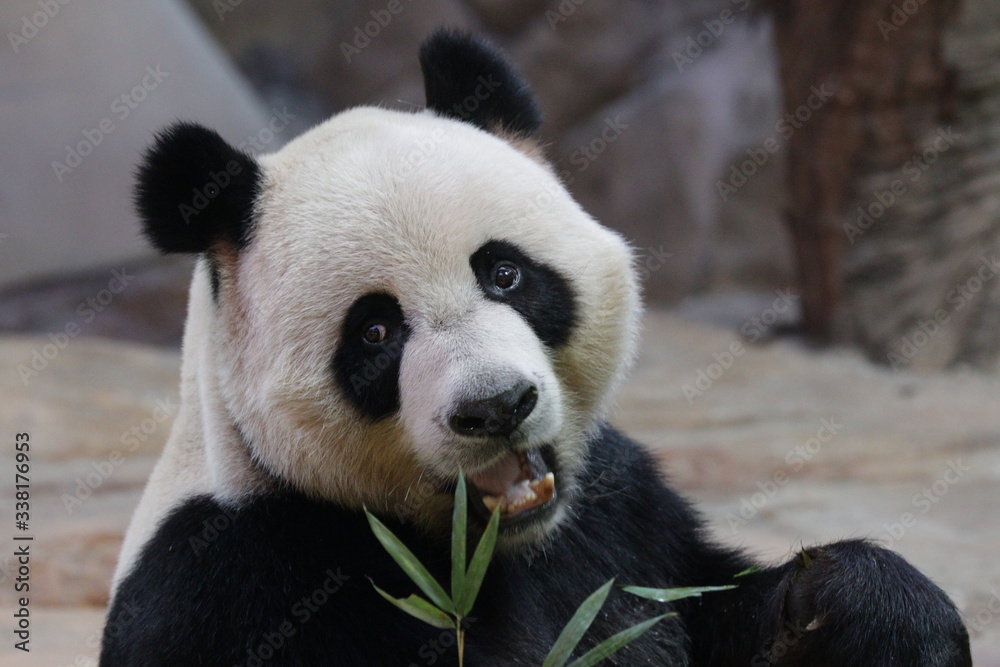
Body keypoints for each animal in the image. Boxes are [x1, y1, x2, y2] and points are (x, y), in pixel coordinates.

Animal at [102, 30, 971, 666]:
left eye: (505, 273)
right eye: (375, 331)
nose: (496, 406)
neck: (488, 543)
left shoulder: (621, 518)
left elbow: (710, 601)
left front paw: (863, 609)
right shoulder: (242, 575)